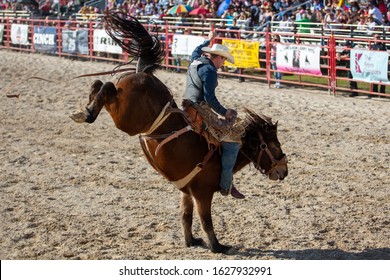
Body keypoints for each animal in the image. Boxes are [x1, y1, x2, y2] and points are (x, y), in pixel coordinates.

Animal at [71, 12, 286, 254]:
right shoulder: (203, 193)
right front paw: (217, 246)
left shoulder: (187, 192)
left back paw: (83, 110)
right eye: (275, 146)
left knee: (100, 82)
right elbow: (205, 220)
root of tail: (142, 73)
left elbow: (186, 215)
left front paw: (190, 241)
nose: (284, 171)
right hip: (127, 118)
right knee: (106, 85)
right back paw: (87, 113)